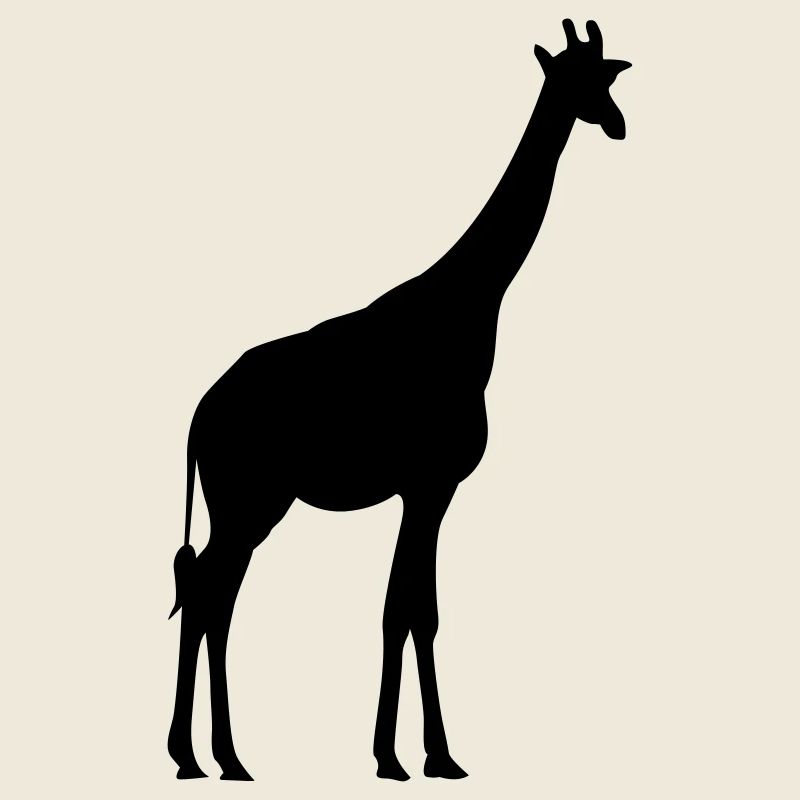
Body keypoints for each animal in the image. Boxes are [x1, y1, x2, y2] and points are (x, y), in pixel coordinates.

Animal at [167, 19, 631, 782]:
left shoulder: (429, 488)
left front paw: (421, 755)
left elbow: (413, 609)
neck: (471, 308)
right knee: (209, 594)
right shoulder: (431, 482)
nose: (618, 123)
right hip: (248, 501)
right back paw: (208, 756)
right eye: (575, 80)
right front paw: (407, 756)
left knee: (212, 594)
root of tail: (198, 418)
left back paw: (213, 757)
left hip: (244, 506)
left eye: (607, 77)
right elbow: (408, 611)